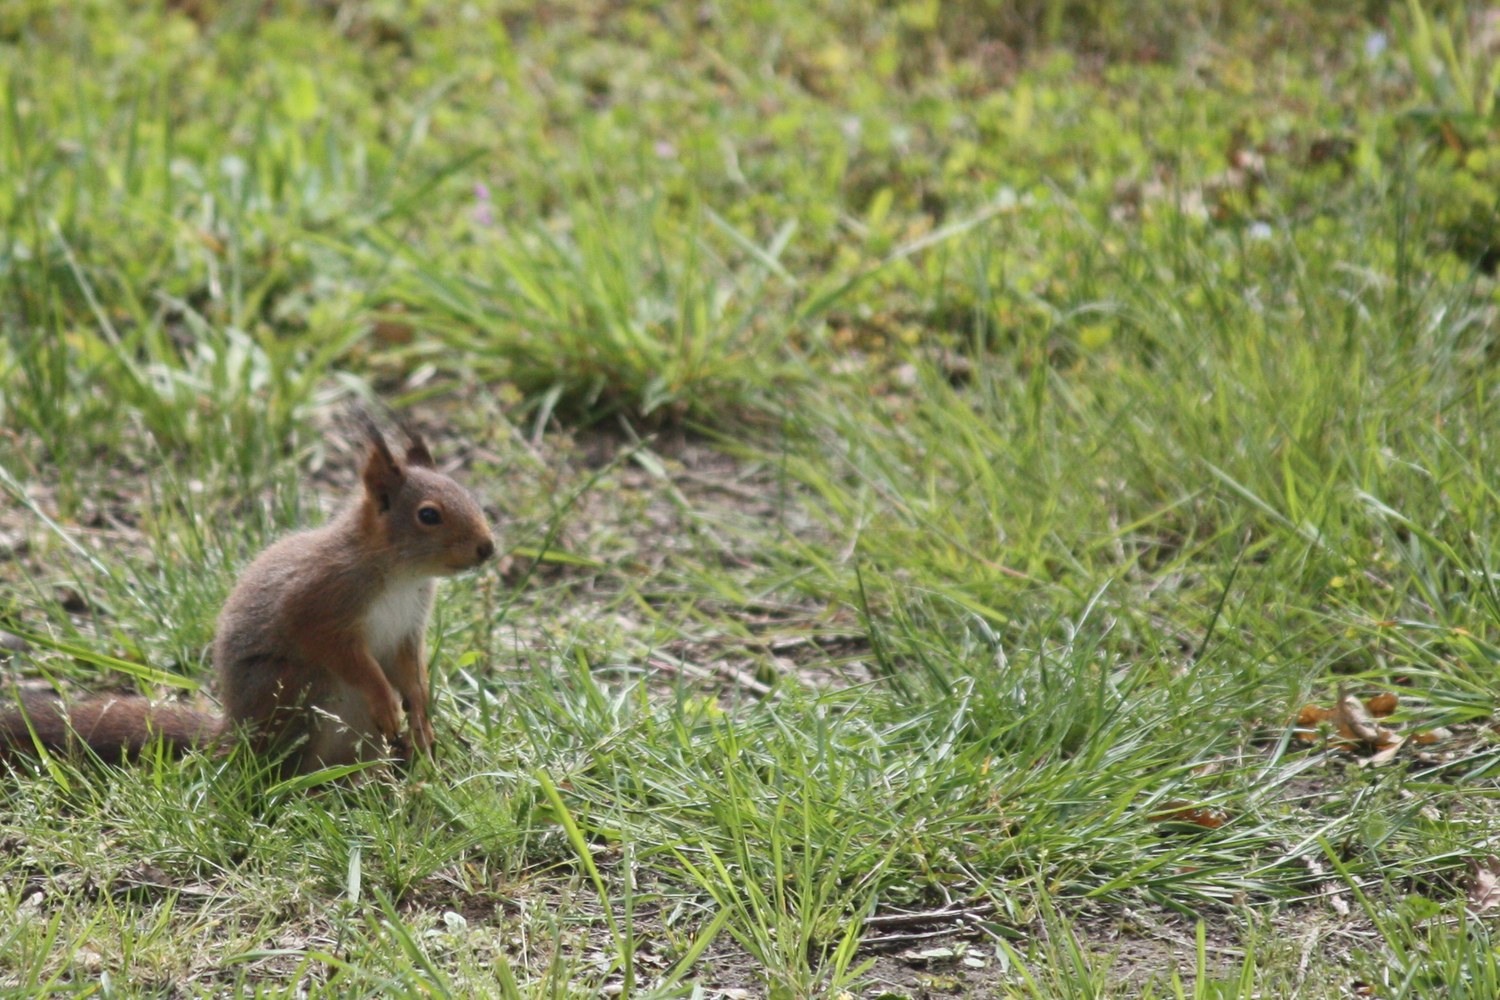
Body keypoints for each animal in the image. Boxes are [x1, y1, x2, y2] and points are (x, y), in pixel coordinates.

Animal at [0, 418, 495, 774]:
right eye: (428, 515)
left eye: (470, 495)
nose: (487, 548)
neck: (400, 573)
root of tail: (233, 734)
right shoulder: (320, 602)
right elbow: (348, 658)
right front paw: (387, 701)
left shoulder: (408, 628)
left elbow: (412, 674)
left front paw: (421, 717)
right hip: (295, 690)